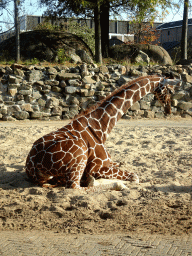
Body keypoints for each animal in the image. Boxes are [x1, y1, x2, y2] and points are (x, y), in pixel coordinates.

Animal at [25, 74, 182, 190]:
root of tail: (33, 165)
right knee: (77, 187)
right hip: (80, 155)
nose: (169, 109)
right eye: (170, 90)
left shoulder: (108, 163)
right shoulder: (96, 168)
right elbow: (135, 177)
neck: (101, 127)